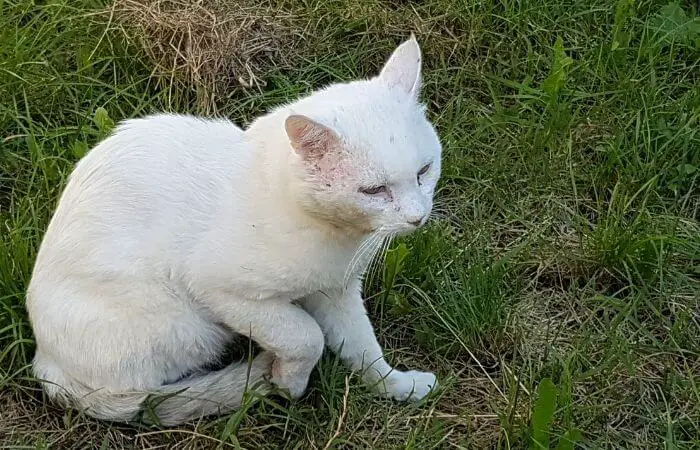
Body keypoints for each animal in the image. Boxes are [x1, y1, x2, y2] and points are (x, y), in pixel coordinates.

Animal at [28, 36, 442, 426]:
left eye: (424, 171)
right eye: (374, 191)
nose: (417, 217)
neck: (337, 240)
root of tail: (46, 365)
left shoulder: (337, 292)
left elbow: (361, 346)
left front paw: (394, 385)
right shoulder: (223, 291)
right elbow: (307, 336)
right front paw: (289, 383)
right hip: (189, 325)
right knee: (143, 395)